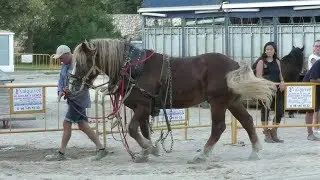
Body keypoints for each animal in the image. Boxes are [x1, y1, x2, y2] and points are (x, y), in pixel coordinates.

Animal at [67, 38, 276, 164]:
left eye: (83, 61)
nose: (73, 85)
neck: (135, 68)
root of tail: (233, 65)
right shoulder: (145, 108)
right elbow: (144, 129)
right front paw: (150, 150)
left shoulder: (143, 106)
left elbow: (132, 129)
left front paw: (147, 148)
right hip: (231, 102)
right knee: (247, 121)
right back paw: (255, 151)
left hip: (217, 102)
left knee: (218, 127)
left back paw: (203, 154)